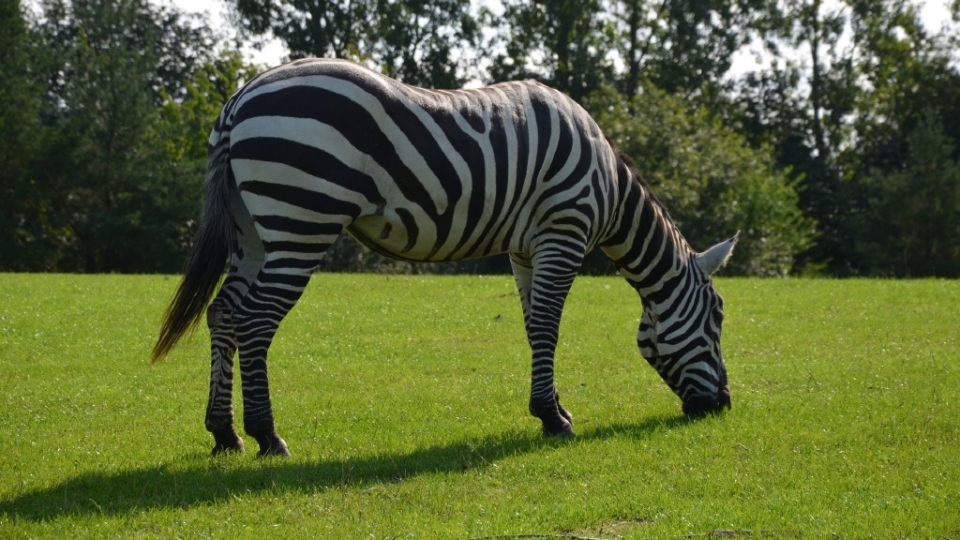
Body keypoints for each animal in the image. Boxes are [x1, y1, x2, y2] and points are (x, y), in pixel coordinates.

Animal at [150, 58, 740, 456]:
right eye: (718, 317)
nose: (724, 405)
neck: (609, 187)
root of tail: (240, 98)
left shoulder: (525, 249)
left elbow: (534, 327)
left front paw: (550, 408)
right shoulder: (563, 231)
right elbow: (550, 327)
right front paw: (555, 419)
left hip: (252, 229)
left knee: (224, 313)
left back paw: (224, 433)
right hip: (301, 220)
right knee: (254, 321)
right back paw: (268, 435)